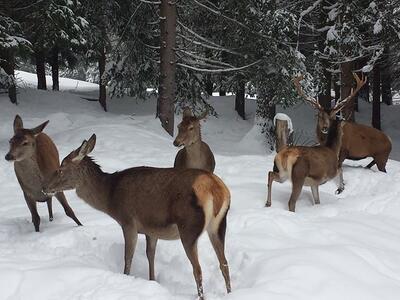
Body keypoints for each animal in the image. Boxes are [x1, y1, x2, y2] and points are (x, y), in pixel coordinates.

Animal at [43, 134, 231, 300]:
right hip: (218, 226)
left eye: (60, 169)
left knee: (198, 269)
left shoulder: (128, 222)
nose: (45, 187)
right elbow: (150, 255)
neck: (110, 198)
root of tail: (217, 190)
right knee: (224, 263)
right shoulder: (151, 230)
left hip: (189, 227)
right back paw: (230, 292)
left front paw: (126, 278)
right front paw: (152, 281)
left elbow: (128, 258)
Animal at [264, 74, 368, 212]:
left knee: (270, 174)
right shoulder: (330, 171)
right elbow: (340, 169)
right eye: (320, 116)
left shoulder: (314, 183)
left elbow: (317, 201)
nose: (325, 127)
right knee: (291, 202)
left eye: (328, 116)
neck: (332, 148)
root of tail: (284, 155)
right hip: (299, 175)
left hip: (282, 174)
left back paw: (268, 203)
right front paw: (340, 188)